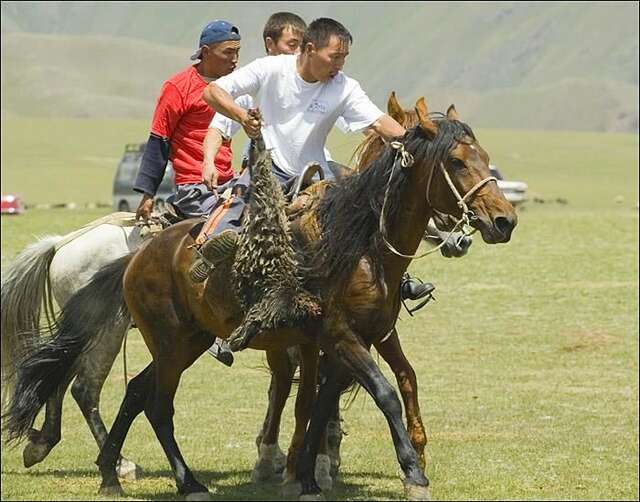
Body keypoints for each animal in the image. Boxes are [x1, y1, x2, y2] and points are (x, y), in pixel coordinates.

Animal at [2, 97, 516, 498]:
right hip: (154, 340)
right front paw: (410, 473)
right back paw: (182, 482)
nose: (504, 220)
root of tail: (136, 255)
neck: (360, 246)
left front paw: (308, 476)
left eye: (486, 156)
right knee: (132, 397)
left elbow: (328, 401)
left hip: (185, 341)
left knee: (133, 390)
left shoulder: (355, 340)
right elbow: (378, 393)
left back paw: (110, 471)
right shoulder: (340, 338)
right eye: (456, 161)